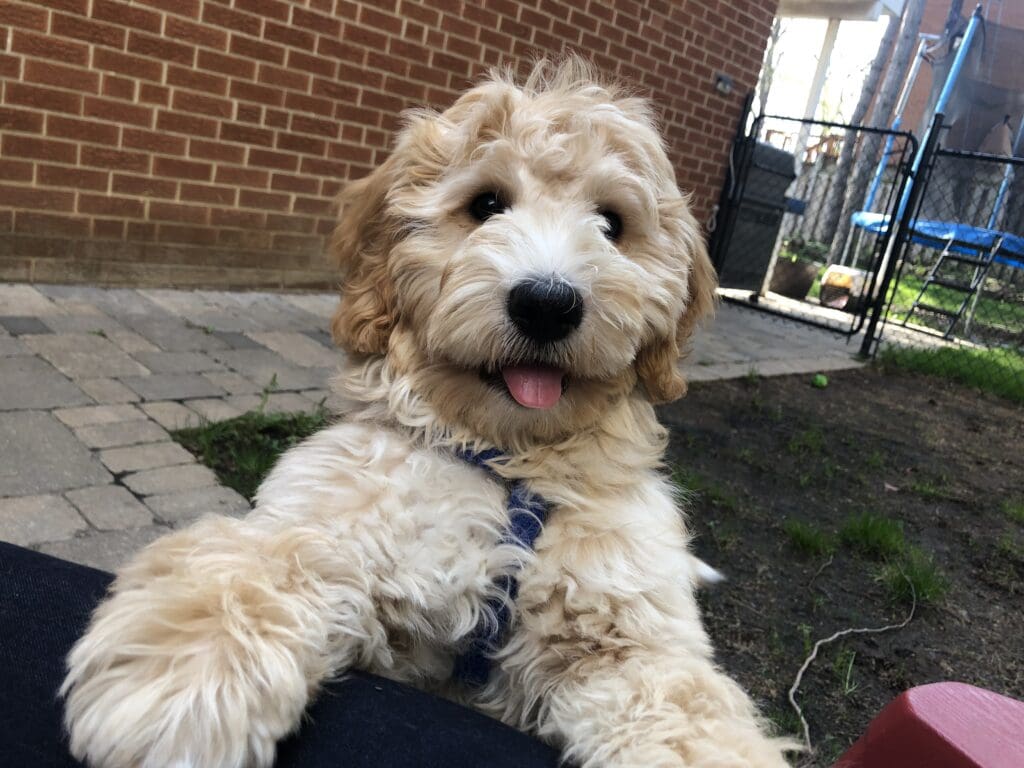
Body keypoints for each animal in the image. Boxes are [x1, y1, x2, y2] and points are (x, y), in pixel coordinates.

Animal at [59, 60, 790, 768]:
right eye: (486, 204)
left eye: (611, 224)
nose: (547, 303)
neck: (507, 463)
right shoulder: (332, 524)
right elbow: (254, 565)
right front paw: (184, 686)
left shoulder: (624, 626)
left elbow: (685, 705)